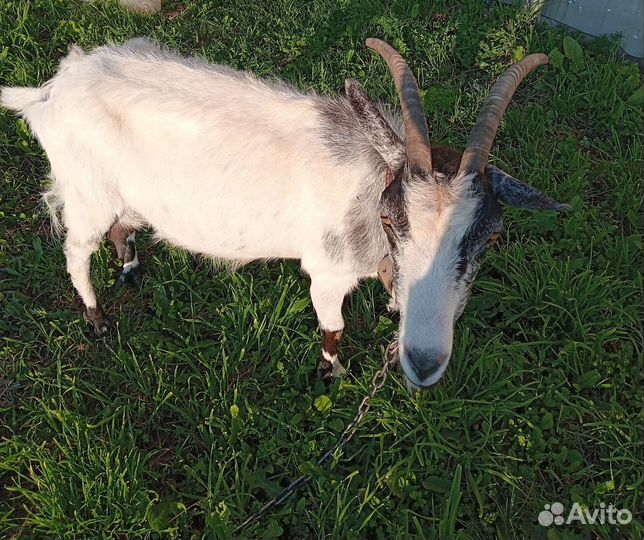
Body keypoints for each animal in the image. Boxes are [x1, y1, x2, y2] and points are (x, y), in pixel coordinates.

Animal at [1, 38, 570, 390]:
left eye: (491, 237)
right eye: (391, 221)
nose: (424, 362)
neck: (368, 184)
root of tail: (50, 90)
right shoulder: (327, 271)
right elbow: (333, 326)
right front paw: (331, 374)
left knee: (123, 227)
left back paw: (132, 268)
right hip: (86, 194)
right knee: (76, 252)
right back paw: (96, 318)